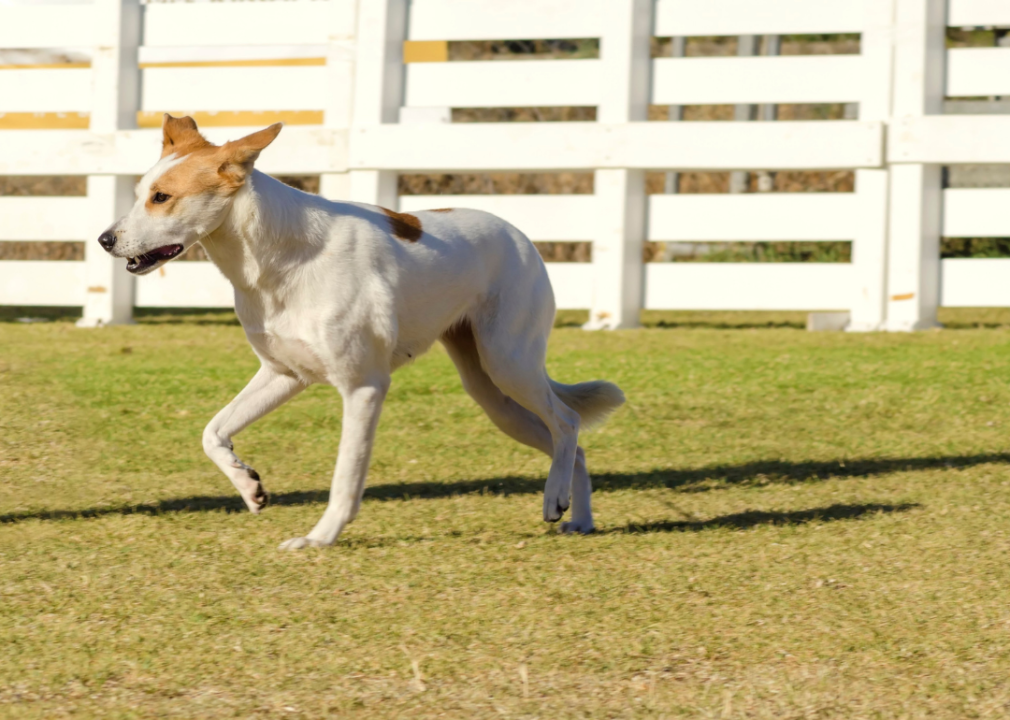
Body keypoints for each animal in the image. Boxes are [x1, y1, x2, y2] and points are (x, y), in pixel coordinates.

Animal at [98, 115, 626, 549]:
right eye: (139, 193)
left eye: (162, 197)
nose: (105, 240)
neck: (279, 257)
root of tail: (521, 237)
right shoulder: (283, 374)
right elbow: (213, 432)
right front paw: (249, 486)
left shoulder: (364, 388)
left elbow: (345, 477)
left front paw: (319, 538)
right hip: (493, 396)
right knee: (574, 444)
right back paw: (577, 517)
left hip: (509, 363)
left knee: (567, 422)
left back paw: (555, 497)